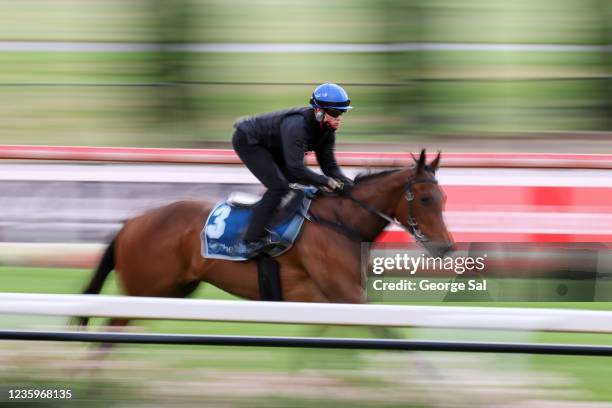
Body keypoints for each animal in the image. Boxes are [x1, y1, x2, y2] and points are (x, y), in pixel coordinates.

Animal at [76, 150, 454, 332]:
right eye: (424, 199)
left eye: (444, 198)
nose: (447, 246)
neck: (341, 222)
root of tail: (130, 223)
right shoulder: (346, 296)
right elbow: (392, 334)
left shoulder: (334, 301)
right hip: (146, 289)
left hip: (172, 291)